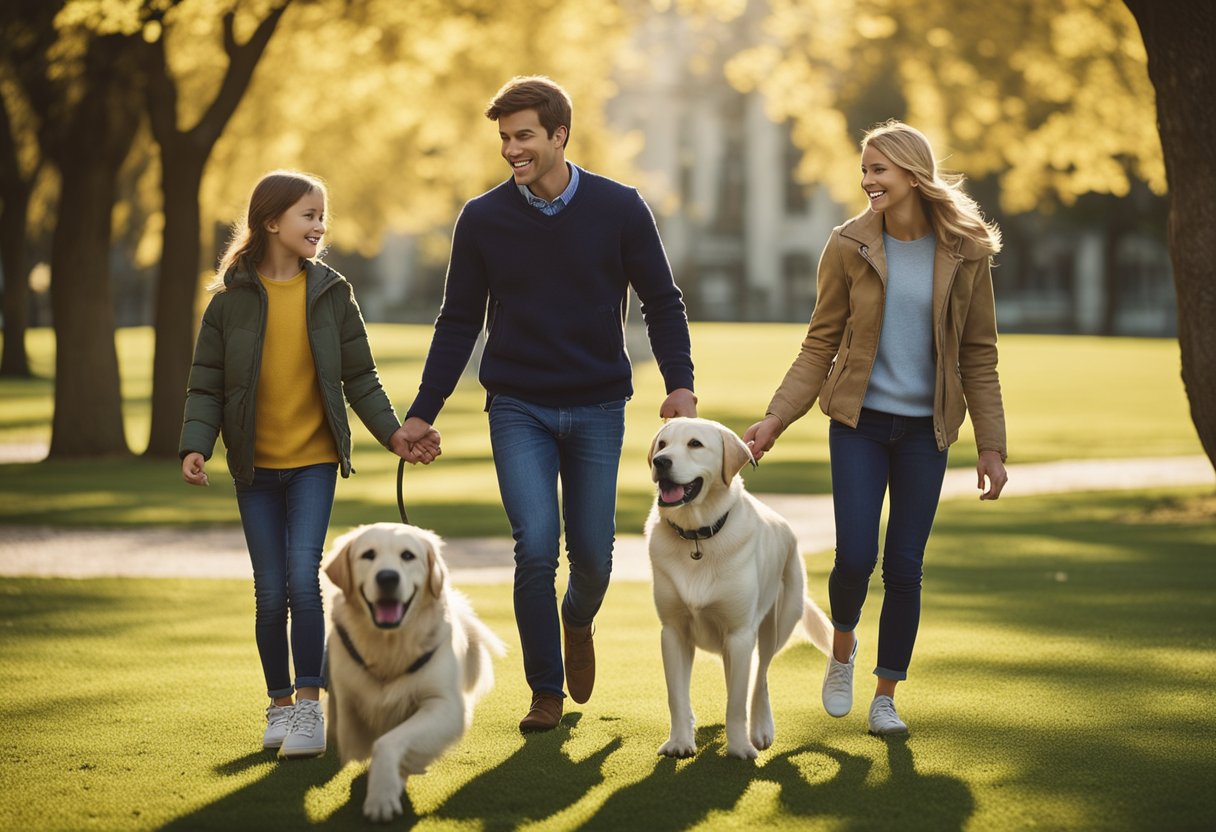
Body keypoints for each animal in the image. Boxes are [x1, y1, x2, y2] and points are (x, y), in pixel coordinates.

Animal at [323, 523, 503, 822]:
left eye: (407, 556)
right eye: (368, 555)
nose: (387, 578)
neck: (390, 644)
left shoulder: (444, 705)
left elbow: (387, 742)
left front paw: (383, 792)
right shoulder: (347, 699)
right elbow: (355, 737)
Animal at [646, 418, 836, 759]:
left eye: (695, 444)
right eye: (662, 444)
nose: (660, 462)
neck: (698, 537)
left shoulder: (739, 633)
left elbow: (736, 701)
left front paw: (739, 747)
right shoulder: (673, 632)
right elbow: (676, 696)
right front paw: (680, 741)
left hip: (776, 625)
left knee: (760, 679)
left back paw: (760, 729)